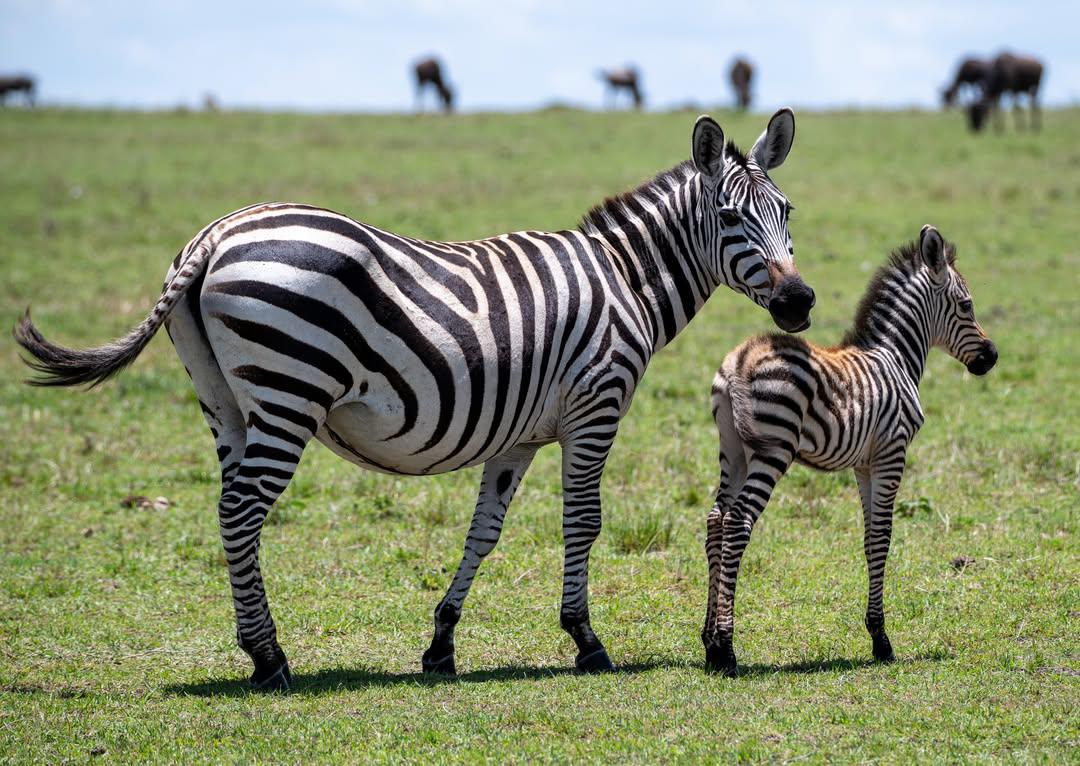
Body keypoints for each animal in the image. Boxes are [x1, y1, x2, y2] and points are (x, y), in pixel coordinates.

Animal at [15, 110, 815, 691]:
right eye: (732, 218)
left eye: (787, 210)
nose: (800, 302)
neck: (624, 278)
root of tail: (212, 236)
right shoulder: (597, 406)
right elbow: (583, 522)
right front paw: (587, 641)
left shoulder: (521, 434)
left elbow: (483, 532)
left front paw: (441, 644)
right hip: (289, 390)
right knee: (243, 511)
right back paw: (269, 658)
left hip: (225, 404)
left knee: (227, 507)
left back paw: (261, 649)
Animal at [702, 224, 997, 676]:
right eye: (966, 305)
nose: (992, 357)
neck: (896, 358)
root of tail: (738, 363)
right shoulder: (892, 451)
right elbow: (882, 537)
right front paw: (881, 640)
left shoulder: (864, 463)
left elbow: (868, 536)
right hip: (773, 450)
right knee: (737, 524)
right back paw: (726, 647)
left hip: (731, 450)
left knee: (716, 521)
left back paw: (708, 644)